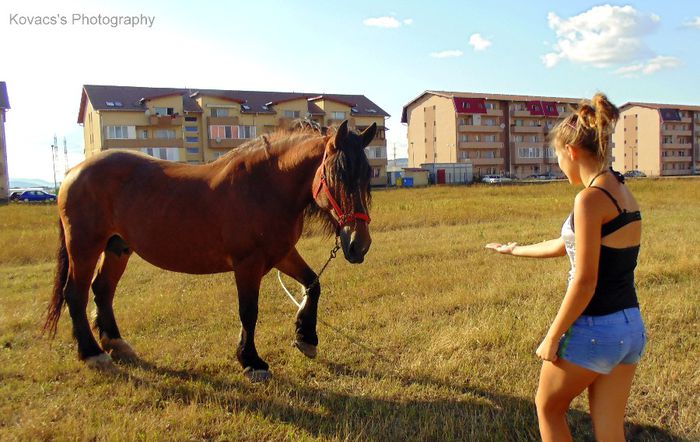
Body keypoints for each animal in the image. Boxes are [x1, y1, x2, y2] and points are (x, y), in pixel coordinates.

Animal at [44, 120, 378, 380]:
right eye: (338, 175)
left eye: (366, 176)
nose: (358, 244)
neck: (264, 187)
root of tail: (73, 172)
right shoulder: (248, 264)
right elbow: (249, 312)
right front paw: (251, 361)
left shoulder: (282, 254)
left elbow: (313, 284)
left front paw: (305, 337)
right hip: (85, 248)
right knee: (76, 294)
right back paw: (93, 353)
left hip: (117, 248)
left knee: (102, 290)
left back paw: (116, 343)